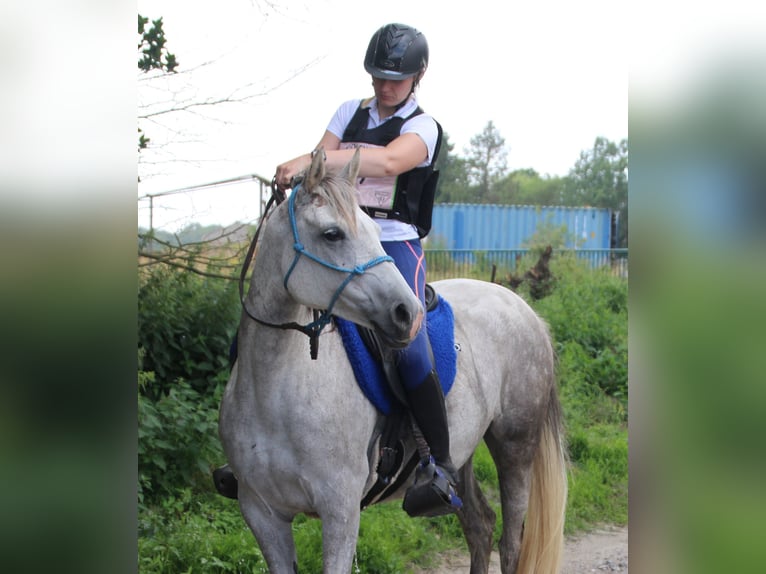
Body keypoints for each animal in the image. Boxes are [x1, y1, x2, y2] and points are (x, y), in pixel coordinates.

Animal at [218, 149, 568, 573]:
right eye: (332, 234)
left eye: (372, 227)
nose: (408, 313)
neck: (277, 390)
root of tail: (526, 310)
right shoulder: (262, 514)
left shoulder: (340, 511)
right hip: (463, 454)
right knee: (480, 527)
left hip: (515, 446)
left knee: (510, 543)